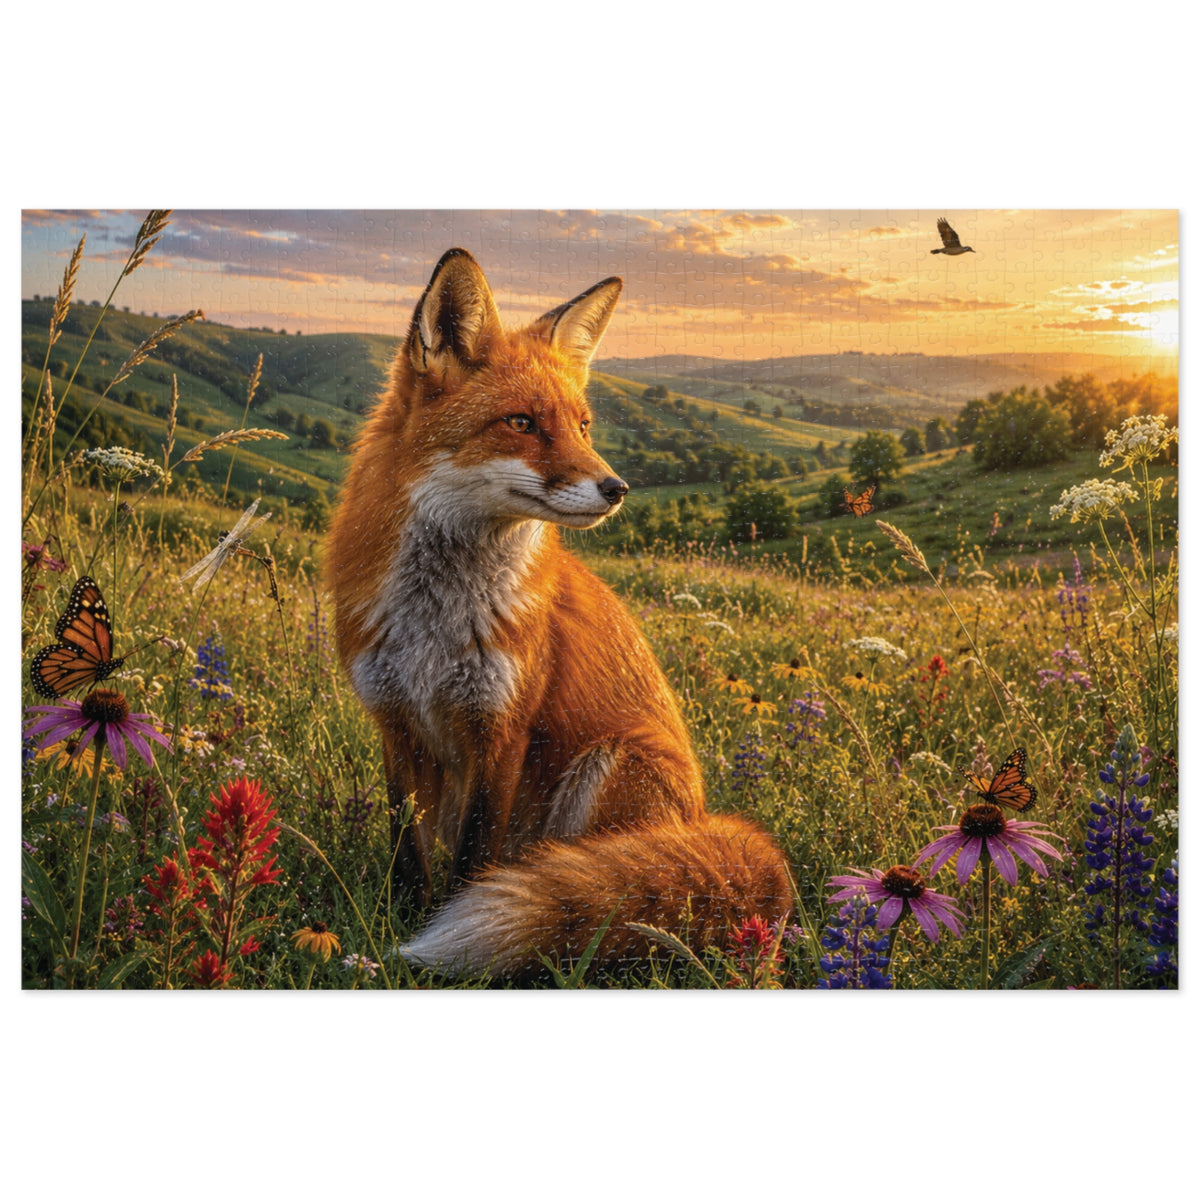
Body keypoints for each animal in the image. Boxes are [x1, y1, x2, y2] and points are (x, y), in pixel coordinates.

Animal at [327, 248, 792, 979]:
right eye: (521, 423)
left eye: (583, 425)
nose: (617, 488)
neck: (435, 619)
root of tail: (702, 821)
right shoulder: (395, 722)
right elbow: (407, 854)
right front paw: (393, 927)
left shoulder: (503, 728)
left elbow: (471, 861)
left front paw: (434, 945)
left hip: (608, 765)